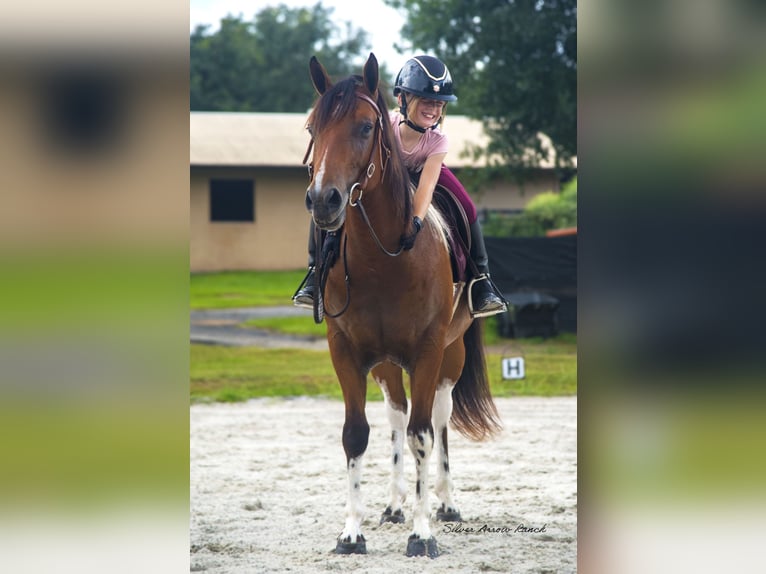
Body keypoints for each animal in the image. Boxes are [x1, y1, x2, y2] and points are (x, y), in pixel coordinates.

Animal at [306, 53, 504, 560]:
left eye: (364, 127)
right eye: (312, 127)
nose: (323, 200)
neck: (383, 261)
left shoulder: (428, 353)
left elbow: (422, 436)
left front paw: (422, 533)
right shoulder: (347, 353)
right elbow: (357, 435)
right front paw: (352, 533)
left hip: (449, 357)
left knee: (438, 418)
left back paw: (445, 505)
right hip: (385, 365)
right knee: (395, 415)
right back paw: (394, 505)